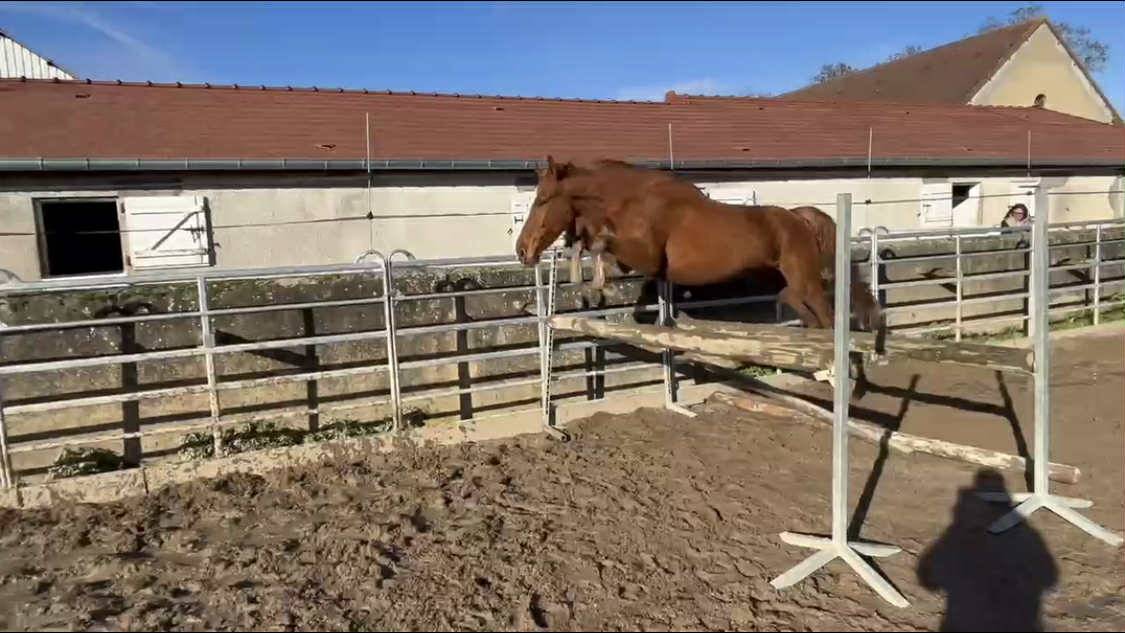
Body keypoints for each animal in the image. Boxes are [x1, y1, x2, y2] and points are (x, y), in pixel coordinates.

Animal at [516, 157, 849, 329]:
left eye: (542, 199)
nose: (522, 251)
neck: (633, 200)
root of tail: (799, 218)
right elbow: (595, 252)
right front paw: (593, 284)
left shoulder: (648, 258)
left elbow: (600, 245)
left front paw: (598, 284)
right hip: (777, 275)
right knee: (797, 304)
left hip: (805, 278)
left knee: (822, 313)